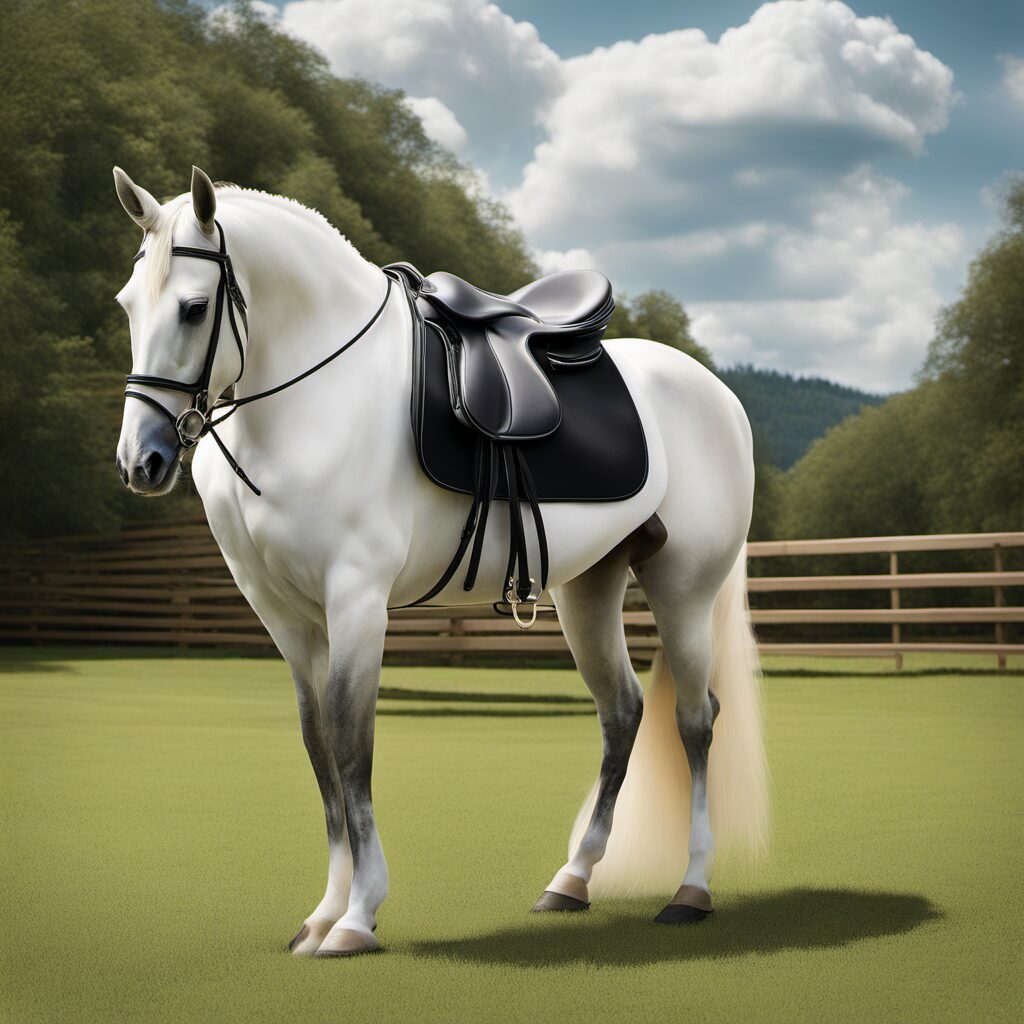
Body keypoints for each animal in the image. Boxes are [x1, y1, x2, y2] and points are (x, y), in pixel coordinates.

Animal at [112, 165, 768, 957]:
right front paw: (324, 913)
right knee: (623, 713)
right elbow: (319, 750)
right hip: (588, 591)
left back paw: (690, 890)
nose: (140, 461)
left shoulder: (356, 601)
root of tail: (717, 393)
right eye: (127, 305)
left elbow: (352, 745)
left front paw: (357, 917)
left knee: (695, 721)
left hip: (684, 590)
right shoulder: (288, 620)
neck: (316, 398)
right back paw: (572, 880)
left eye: (193, 307)